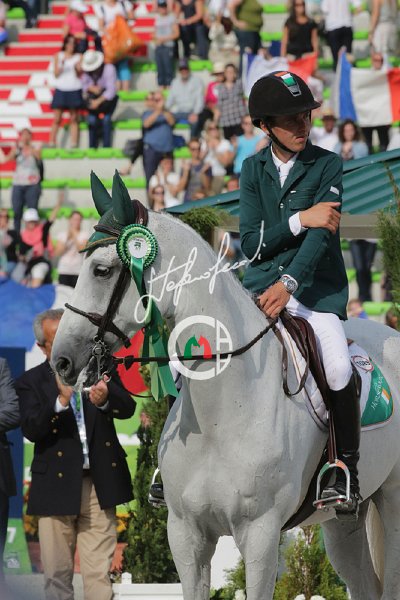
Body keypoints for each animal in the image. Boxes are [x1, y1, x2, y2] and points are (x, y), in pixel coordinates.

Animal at [52, 174, 400, 600]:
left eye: (101, 270)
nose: (61, 361)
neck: (222, 412)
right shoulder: (186, 533)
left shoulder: (261, 533)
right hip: (343, 520)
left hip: (393, 503)